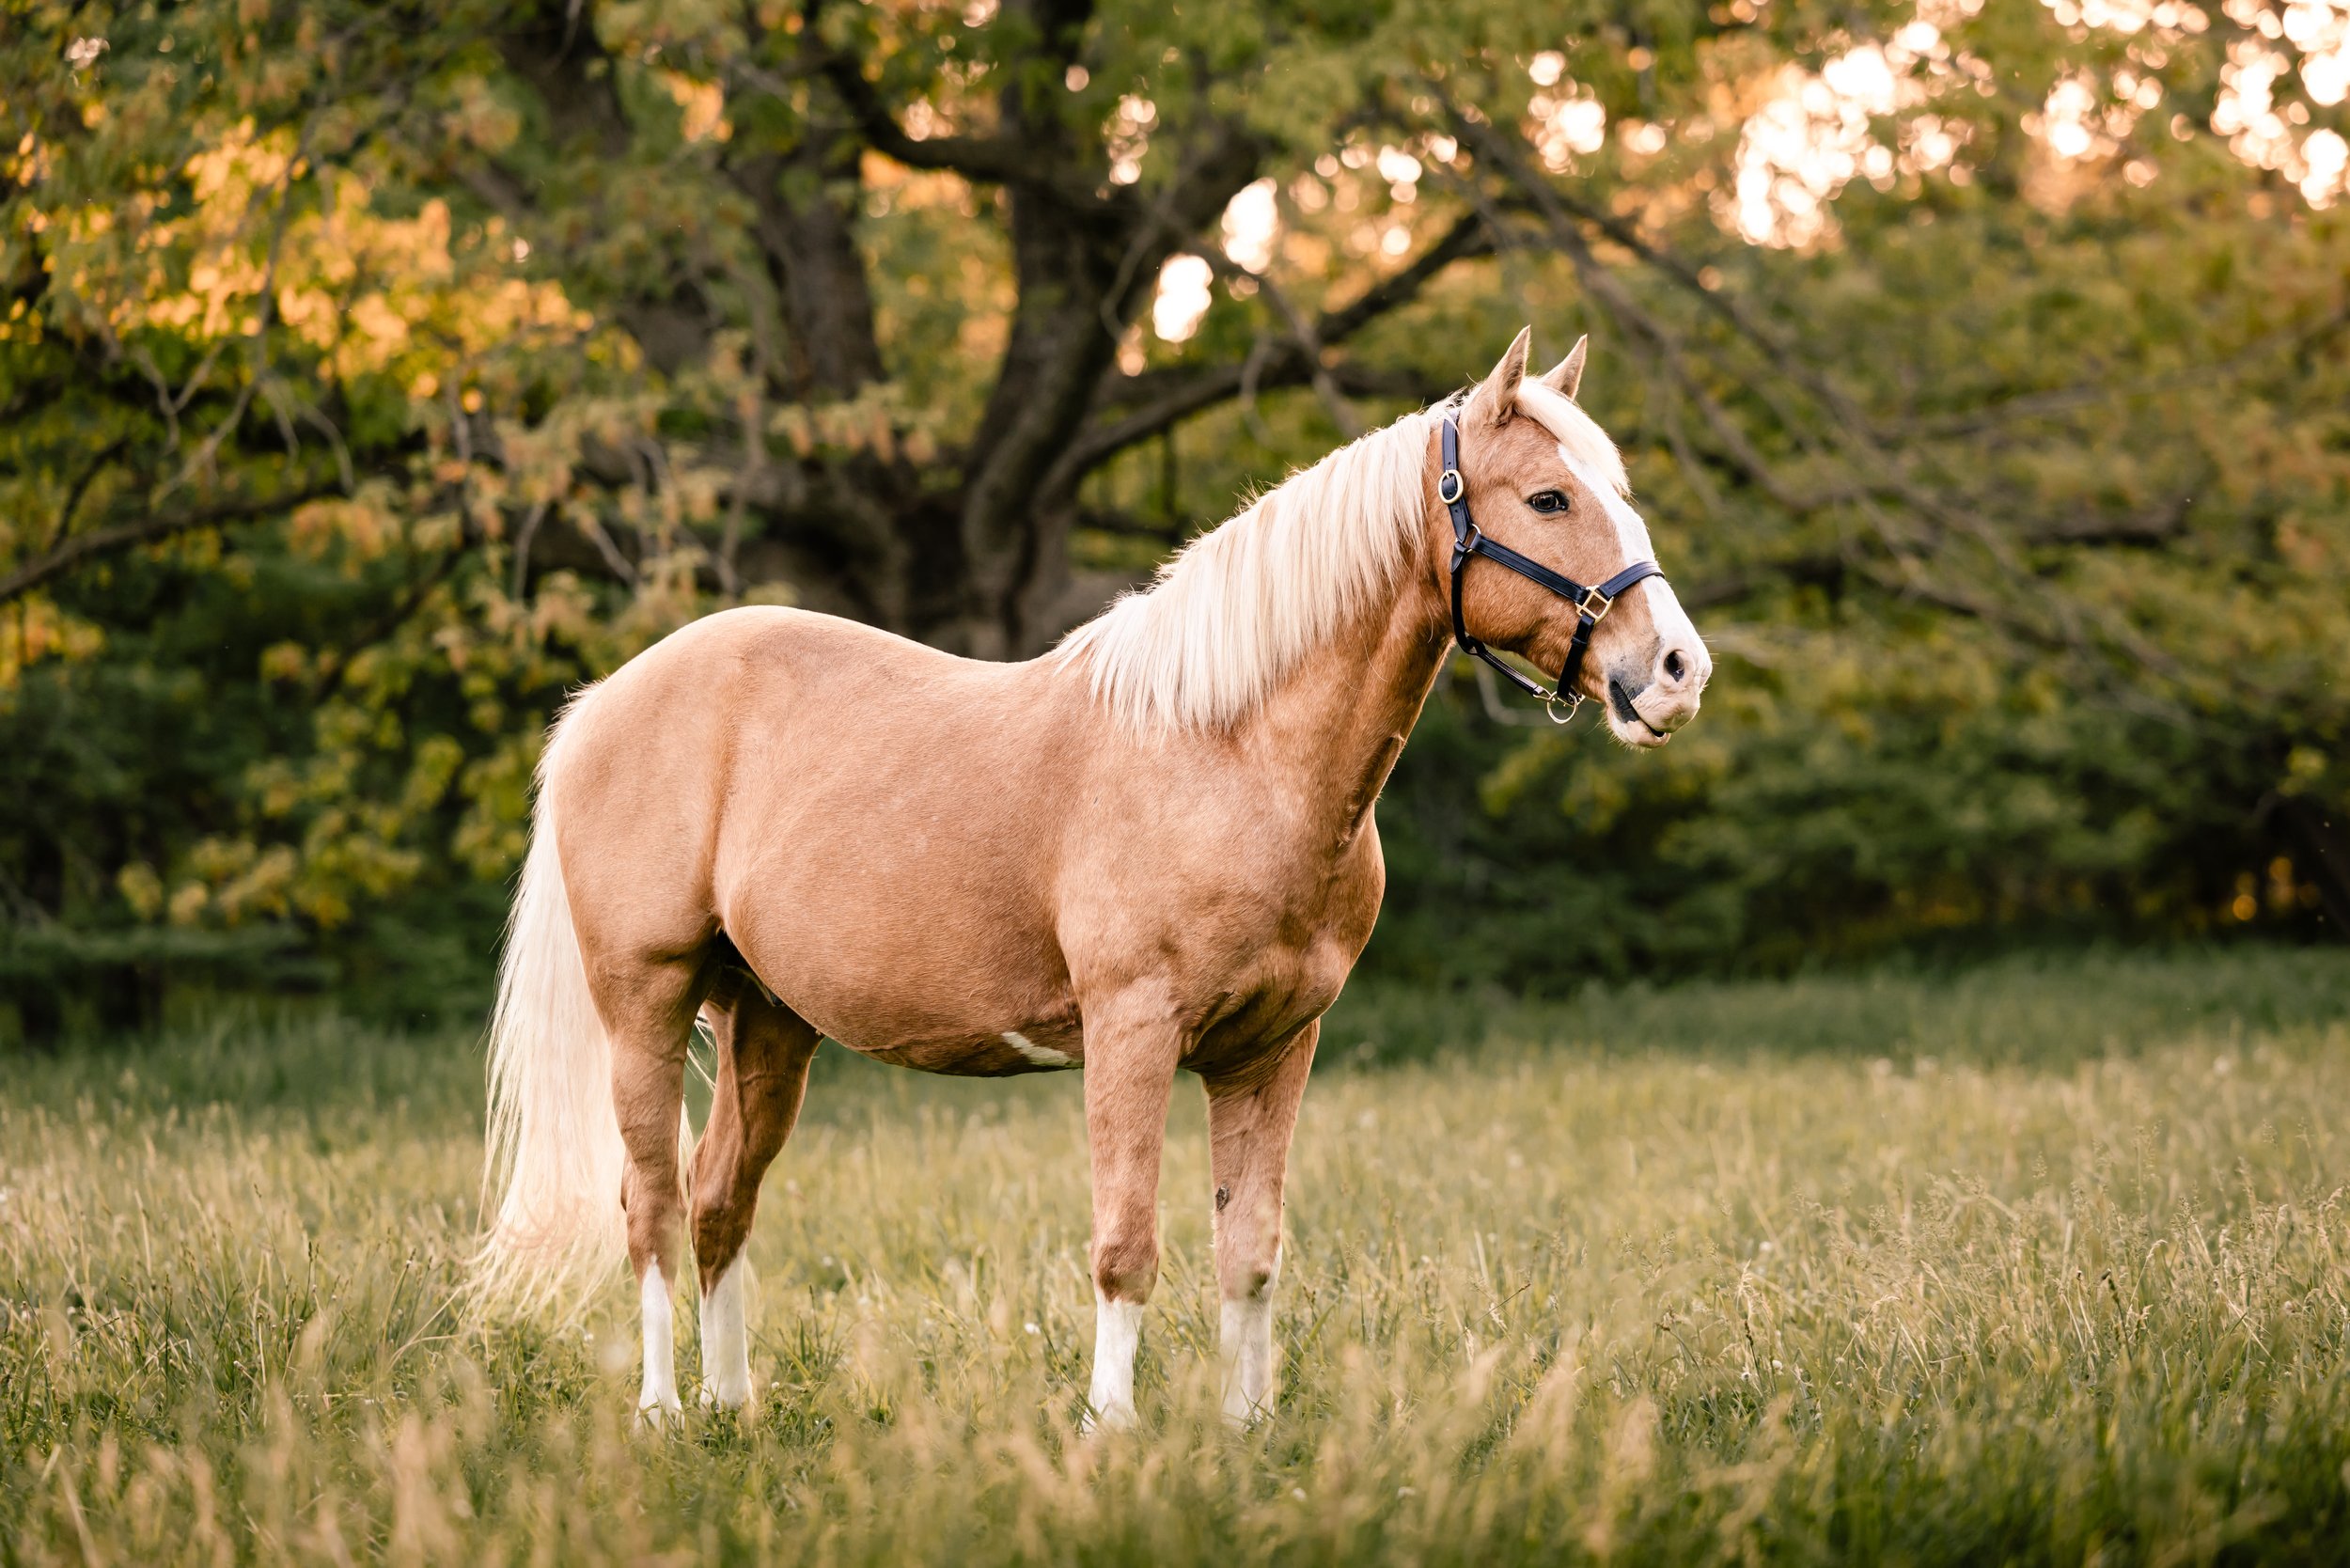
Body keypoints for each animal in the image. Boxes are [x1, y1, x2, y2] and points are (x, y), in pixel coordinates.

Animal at [468, 327, 1712, 1429]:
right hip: (646, 1001)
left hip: (767, 1020)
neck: (1231, 749)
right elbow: (1125, 1245)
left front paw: (1246, 1431)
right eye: (1547, 500)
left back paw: (735, 1408)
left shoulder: (1273, 1049)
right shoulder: (1131, 1030)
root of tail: (603, 702)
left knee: (724, 1200)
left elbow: (1249, 1252)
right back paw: (663, 1410)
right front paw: (1110, 1429)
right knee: (653, 1208)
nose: (1675, 670)